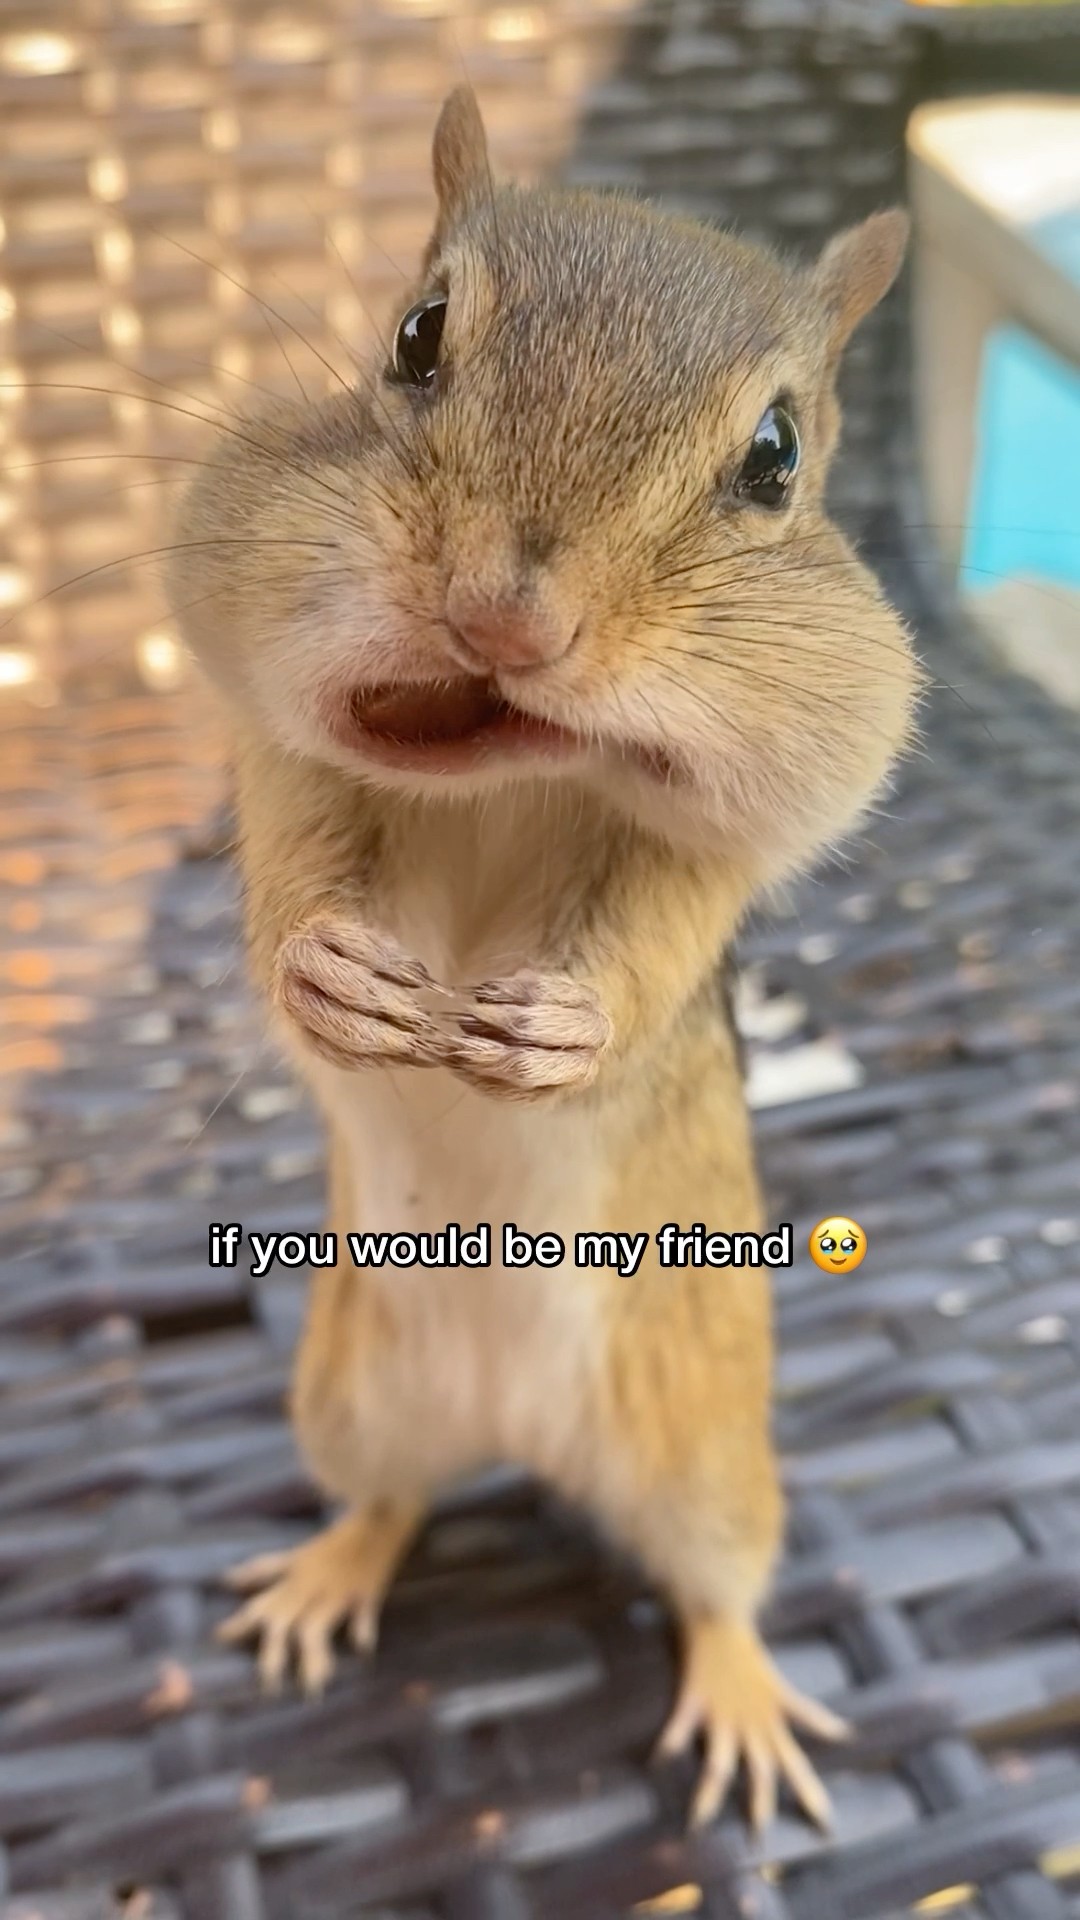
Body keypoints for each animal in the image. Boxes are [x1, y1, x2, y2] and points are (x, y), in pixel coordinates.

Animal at [167, 87, 920, 1831]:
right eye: (413, 335)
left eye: (777, 458)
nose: (502, 626)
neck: (502, 776)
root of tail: (514, 1436)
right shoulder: (279, 762)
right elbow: (292, 892)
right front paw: (327, 973)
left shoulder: (705, 867)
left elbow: (646, 961)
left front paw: (565, 1028)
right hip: (350, 1404)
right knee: (388, 1503)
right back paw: (328, 1573)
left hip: (706, 1461)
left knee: (717, 1586)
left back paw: (744, 1696)